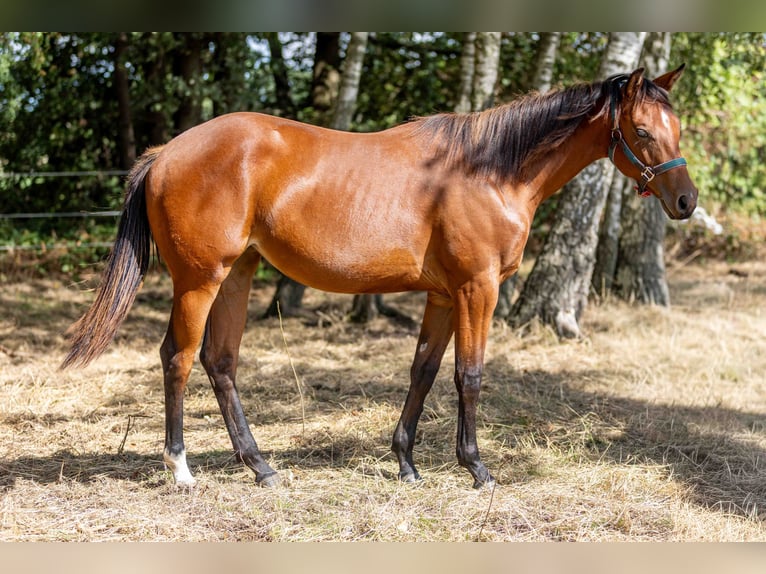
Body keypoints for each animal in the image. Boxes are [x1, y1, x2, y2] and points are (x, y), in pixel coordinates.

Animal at [62, 65, 697, 489]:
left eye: (678, 128)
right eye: (642, 132)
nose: (686, 201)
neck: (490, 172)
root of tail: (165, 153)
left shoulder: (443, 296)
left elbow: (423, 373)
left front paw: (407, 463)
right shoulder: (477, 289)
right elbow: (469, 376)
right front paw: (477, 468)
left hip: (236, 275)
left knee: (221, 363)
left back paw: (261, 466)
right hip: (200, 281)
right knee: (179, 358)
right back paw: (181, 469)